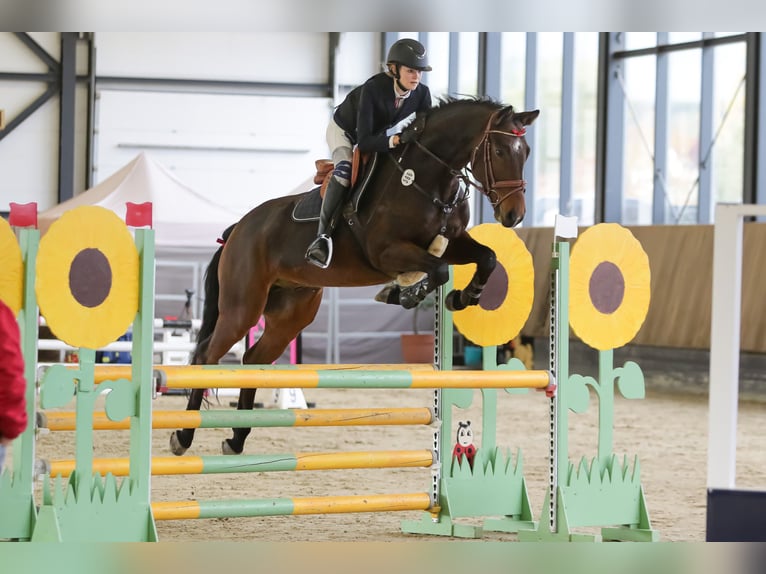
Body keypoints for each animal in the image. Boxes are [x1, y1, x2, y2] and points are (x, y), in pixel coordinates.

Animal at [170, 97, 539, 456]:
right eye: (500, 151)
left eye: (526, 152)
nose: (514, 215)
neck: (428, 179)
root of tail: (238, 229)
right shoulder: (387, 251)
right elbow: (437, 269)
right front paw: (405, 292)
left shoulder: (453, 242)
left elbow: (487, 258)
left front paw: (463, 297)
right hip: (243, 306)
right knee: (207, 357)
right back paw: (183, 437)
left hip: (291, 313)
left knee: (253, 360)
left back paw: (237, 438)